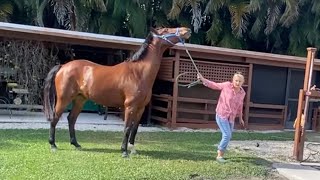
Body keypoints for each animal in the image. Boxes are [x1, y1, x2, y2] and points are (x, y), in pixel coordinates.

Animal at [43, 26, 191, 158]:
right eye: (165, 30)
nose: (186, 30)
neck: (138, 73)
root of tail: (63, 66)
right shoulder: (130, 107)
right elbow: (127, 128)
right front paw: (124, 151)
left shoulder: (140, 108)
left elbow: (134, 129)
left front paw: (133, 149)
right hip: (64, 99)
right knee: (55, 118)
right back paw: (53, 145)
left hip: (80, 100)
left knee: (71, 119)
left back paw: (76, 144)